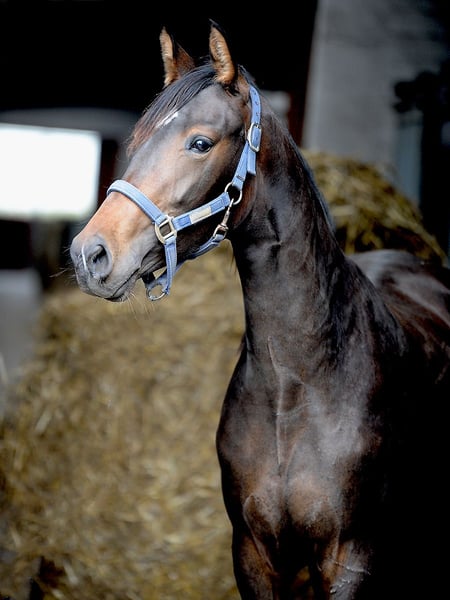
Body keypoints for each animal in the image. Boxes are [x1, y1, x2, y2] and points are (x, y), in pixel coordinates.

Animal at [70, 21, 450, 599]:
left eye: (200, 143)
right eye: (136, 143)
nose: (90, 255)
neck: (295, 388)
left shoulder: (351, 560)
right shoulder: (252, 553)